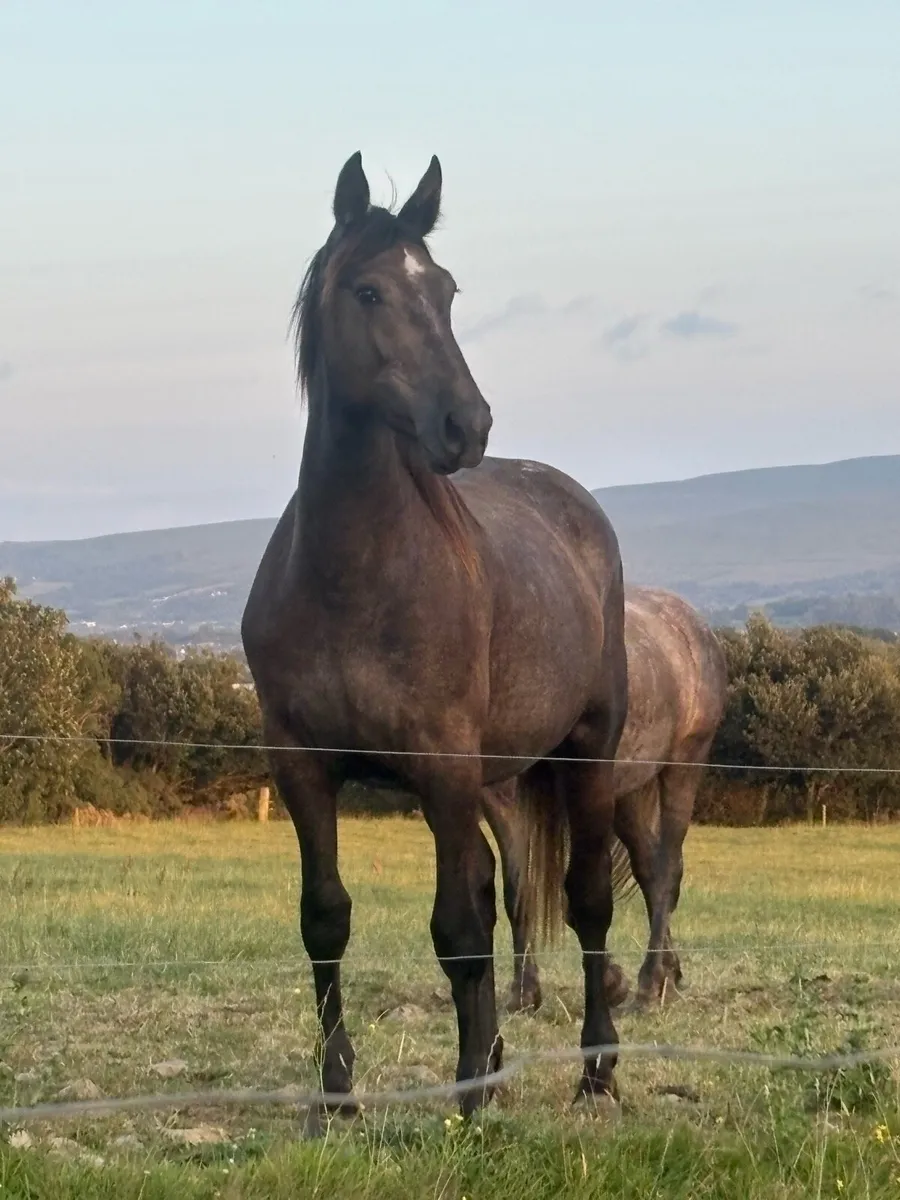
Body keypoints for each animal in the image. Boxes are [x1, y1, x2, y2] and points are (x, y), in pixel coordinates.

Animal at [241, 151, 630, 1120]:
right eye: (369, 291)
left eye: (446, 291)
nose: (468, 424)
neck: (353, 574)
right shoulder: (301, 766)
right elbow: (326, 917)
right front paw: (337, 1095)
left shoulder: (442, 767)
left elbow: (457, 927)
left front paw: (474, 1100)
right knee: (504, 888)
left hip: (588, 751)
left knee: (585, 900)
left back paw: (597, 1071)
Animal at [481, 586, 727, 1012]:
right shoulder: (501, 795)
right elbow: (518, 891)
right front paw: (524, 993)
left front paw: (612, 983)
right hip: (628, 794)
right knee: (651, 871)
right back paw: (669, 974)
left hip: (683, 766)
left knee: (668, 870)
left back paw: (649, 984)